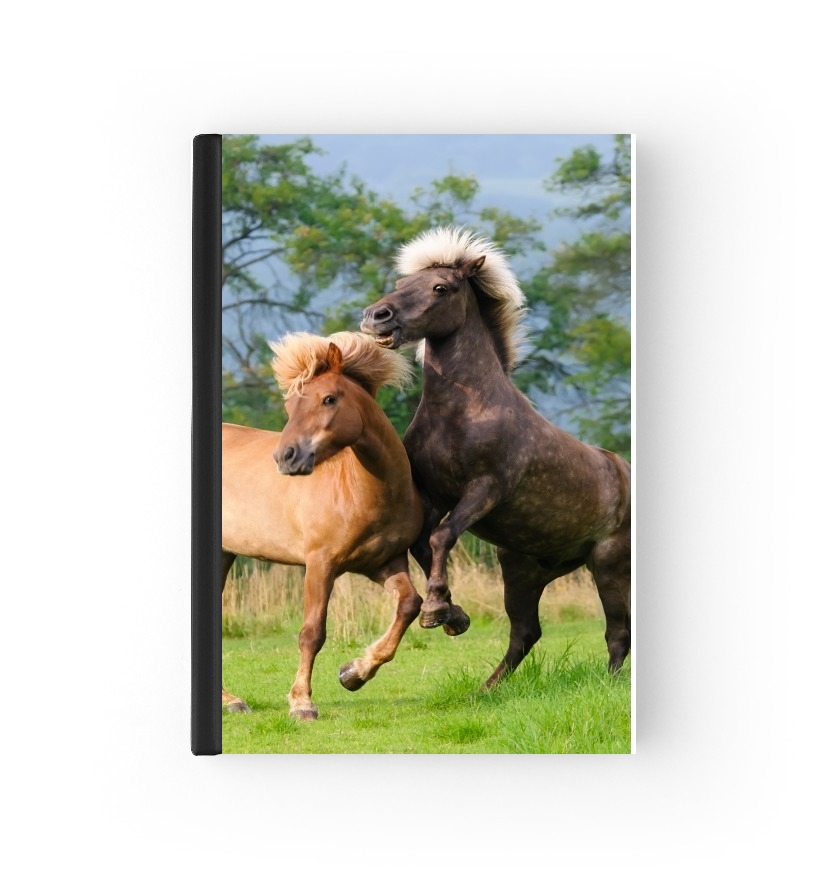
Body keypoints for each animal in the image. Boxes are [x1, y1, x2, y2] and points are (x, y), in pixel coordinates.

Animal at [222, 330, 424, 720]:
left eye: (329, 399)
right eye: (289, 408)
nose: (286, 457)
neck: (367, 491)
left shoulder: (384, 562)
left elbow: (410, 604)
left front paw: (354, 673)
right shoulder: (319, 565)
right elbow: (312, 632)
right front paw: (302, 703)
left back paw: (231, 701)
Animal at [364, 227, 632, 688]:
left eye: (441, 287)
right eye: (401, 284)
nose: (376, 316)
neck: (464, 410)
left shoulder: (485, 488)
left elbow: (441, 537)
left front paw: (435, 611)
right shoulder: (433, 496)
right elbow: (423, 544)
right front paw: (453, 615)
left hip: (608, 564)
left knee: (618, 631)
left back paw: (610, 683)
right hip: (523, 570)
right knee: (526, 632)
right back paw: (487, 689)